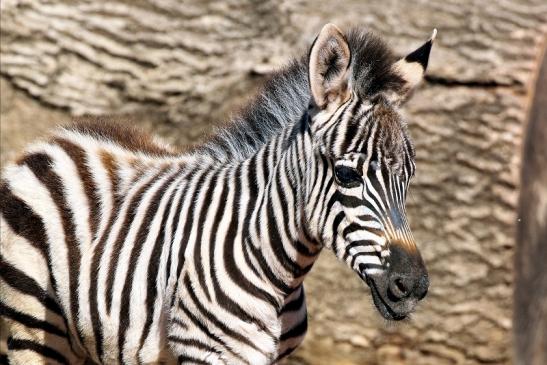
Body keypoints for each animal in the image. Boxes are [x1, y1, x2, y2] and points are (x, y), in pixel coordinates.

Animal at [0, 24, 436, 362]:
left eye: (409, 178)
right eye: (347, 175)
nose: (412, 287)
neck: (278, 266)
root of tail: (52, 140)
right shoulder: (213, 352)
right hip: (33, 328)